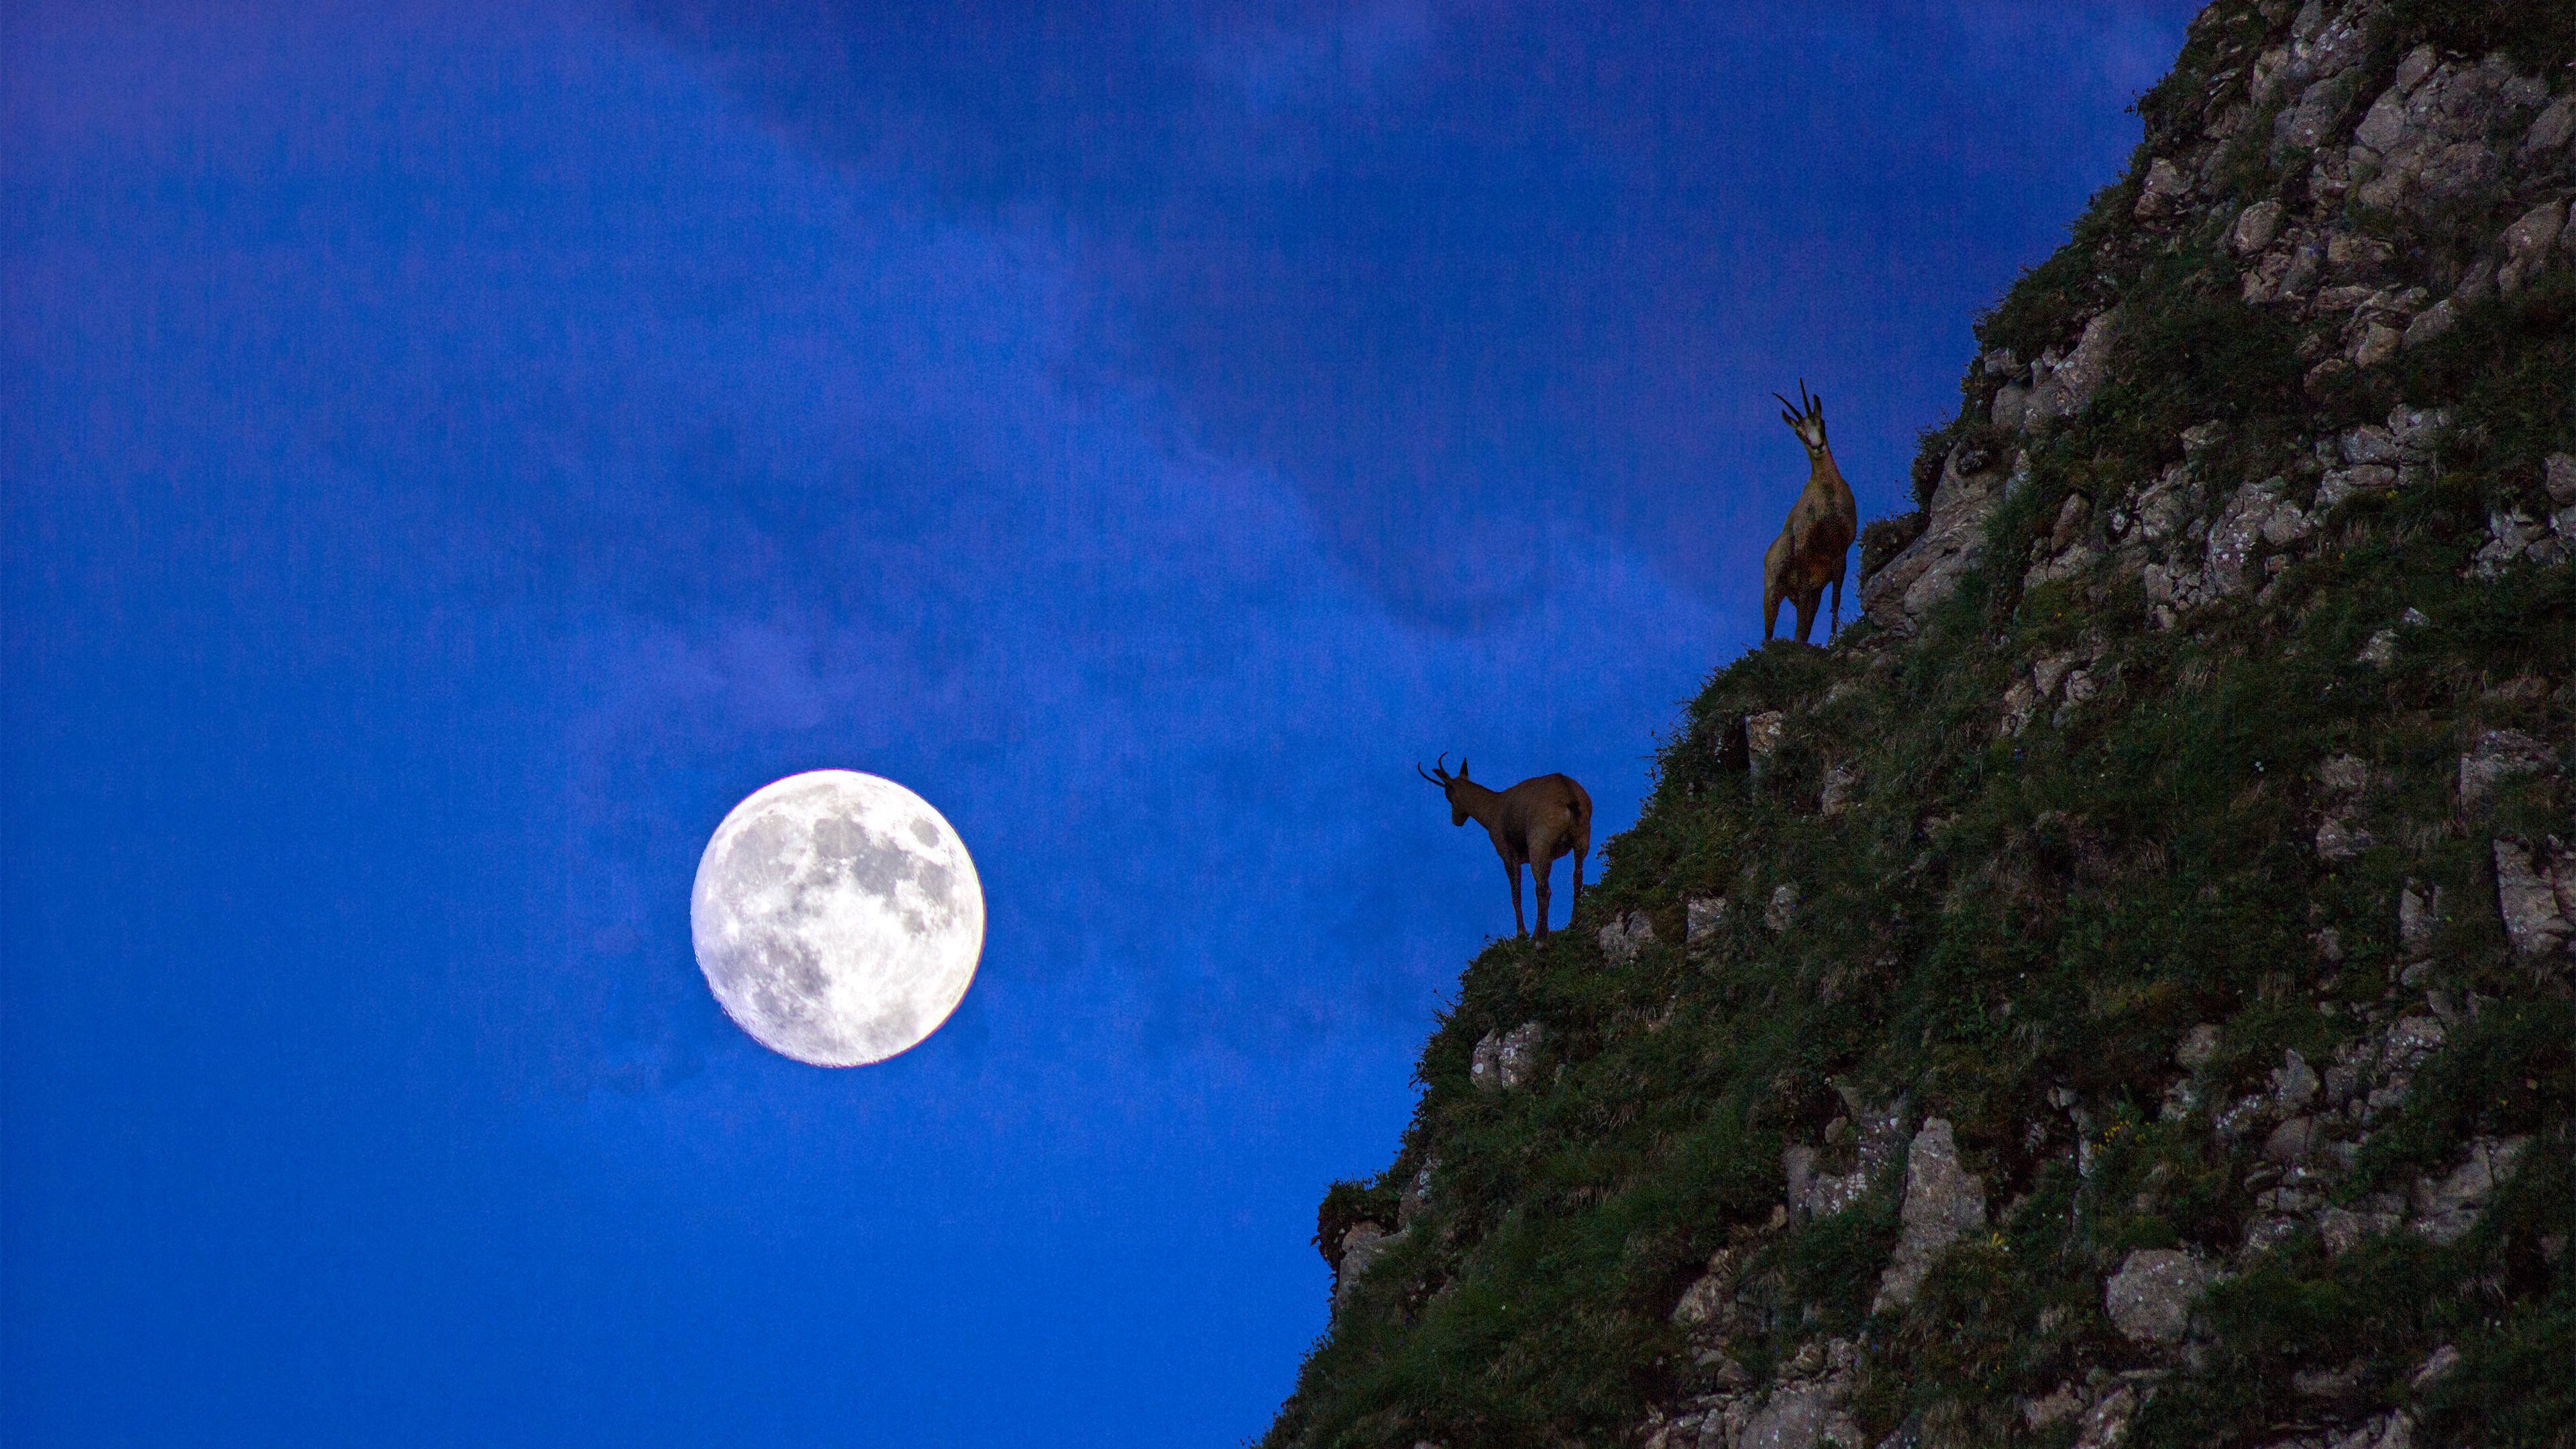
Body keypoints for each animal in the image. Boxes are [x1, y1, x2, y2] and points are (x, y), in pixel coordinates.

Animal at [1417, 754, 1592, 940]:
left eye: (1447, 794)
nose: (1456, 821)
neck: (1493, 807)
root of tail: (1569, 794)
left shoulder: (1508, 855)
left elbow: (1516, 895)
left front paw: (1522, 934)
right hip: (1581, 840)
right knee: (1576, 877)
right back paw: (1572, 923)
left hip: (1539, 846)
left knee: (1543, 889)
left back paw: (1538, 938)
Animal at [1761, 380, 1859, 645]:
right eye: (1799, 432)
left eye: (1822, 421)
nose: (1818, 447)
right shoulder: (1805, 557)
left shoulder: (1841, 554)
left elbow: (1836, 599)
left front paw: (1832, 639)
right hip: (1772, 592)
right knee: (1768, 636)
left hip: (1812, 592)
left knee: (1803, 625)